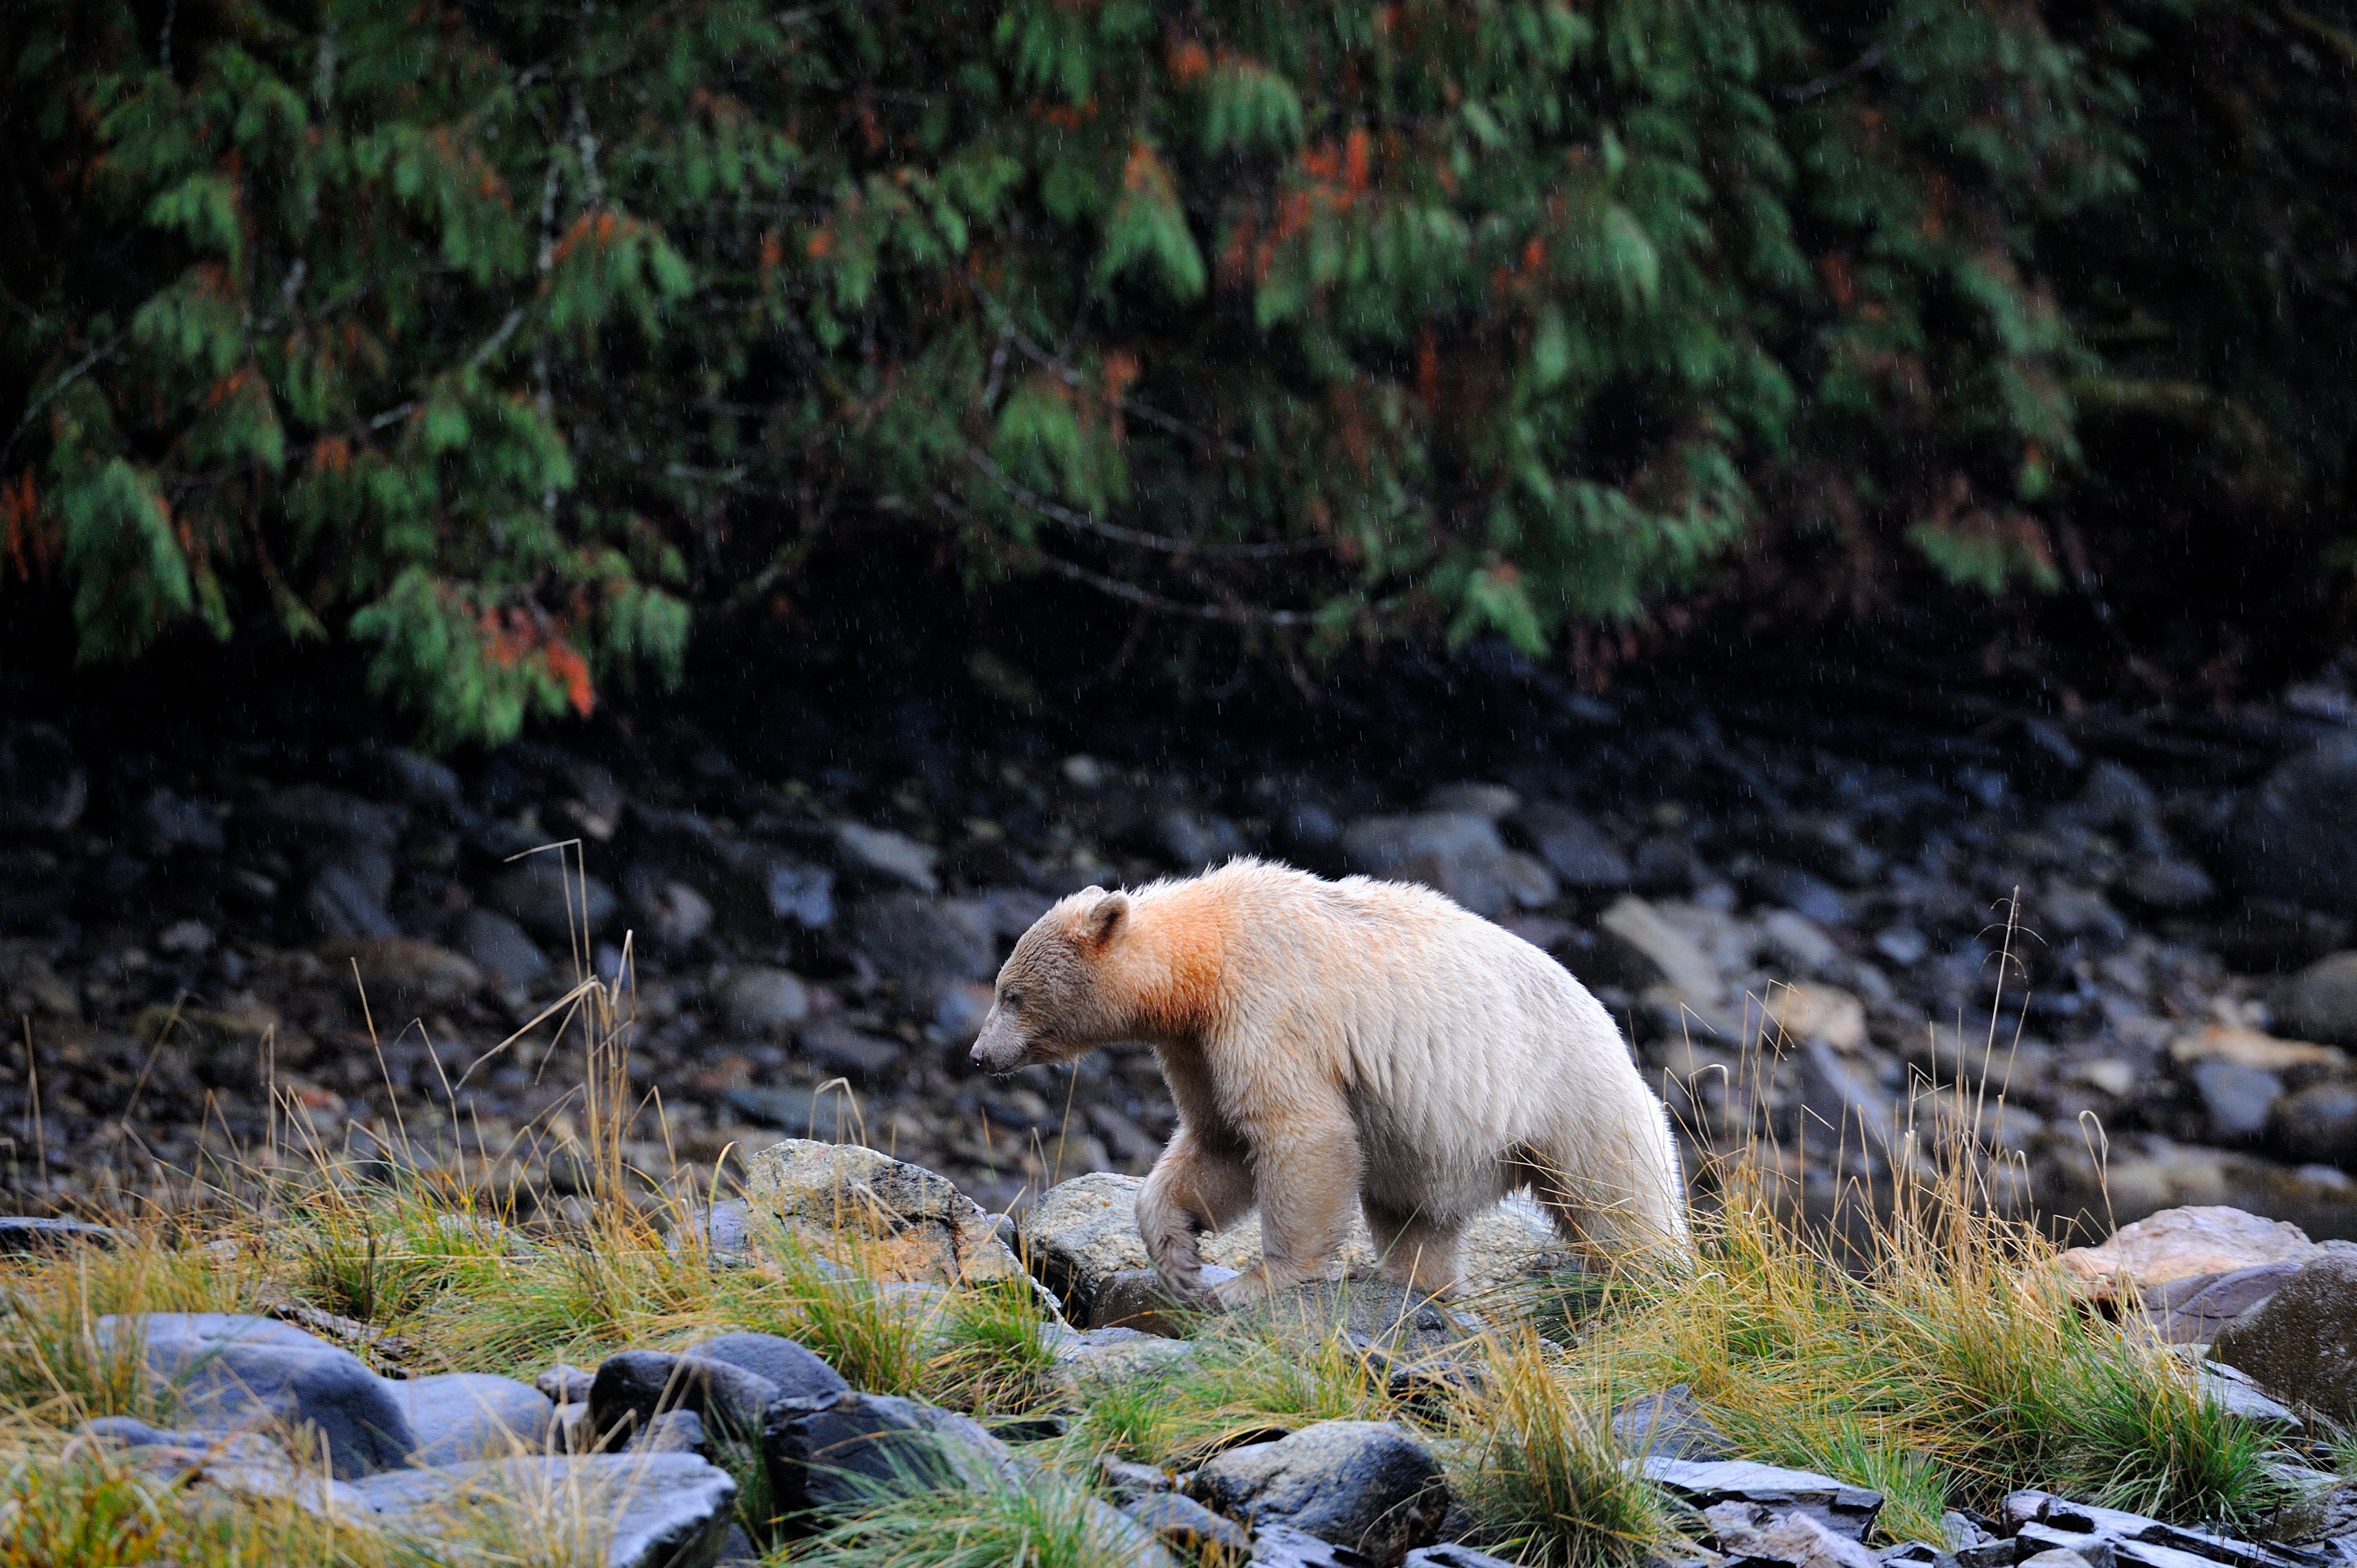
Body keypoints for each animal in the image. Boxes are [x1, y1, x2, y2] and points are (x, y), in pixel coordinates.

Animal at [969, 858, 1691, 1308]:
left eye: (1012, 995)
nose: (977, 1055)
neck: (1207, 952)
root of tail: (1611, 1027)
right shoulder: (1197, 1045)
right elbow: (1219, 1140)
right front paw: (1177, 1258)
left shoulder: (1270, 1007)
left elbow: (1298, 1134)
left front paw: (1255, 1282)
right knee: (1415, 1219)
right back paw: (1418, 1286)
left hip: (1573, 1100)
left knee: (1618, 1208)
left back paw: (1654, 1283)